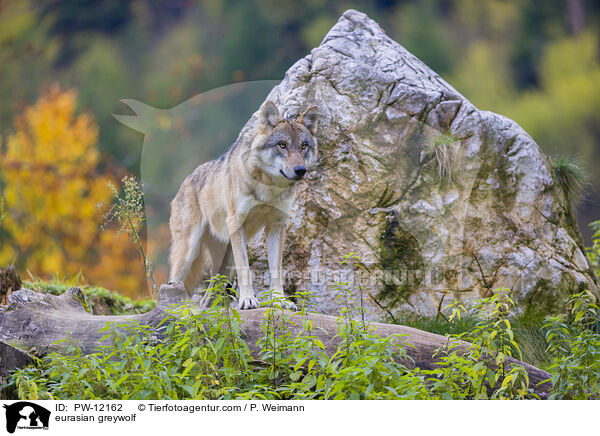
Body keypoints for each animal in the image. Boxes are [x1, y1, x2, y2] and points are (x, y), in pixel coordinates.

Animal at [169, 100, 318, 308]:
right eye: (282, 145)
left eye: (304, 146)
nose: (300, 170)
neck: (268, 188)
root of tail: (184, 183)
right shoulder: (236, 222)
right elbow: (245, 268)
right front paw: (248, 299)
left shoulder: (276, 226)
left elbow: (276, 270)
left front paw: (280, 300)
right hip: (188, 253)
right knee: (172, 283)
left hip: (224, 259)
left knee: (209, 294)